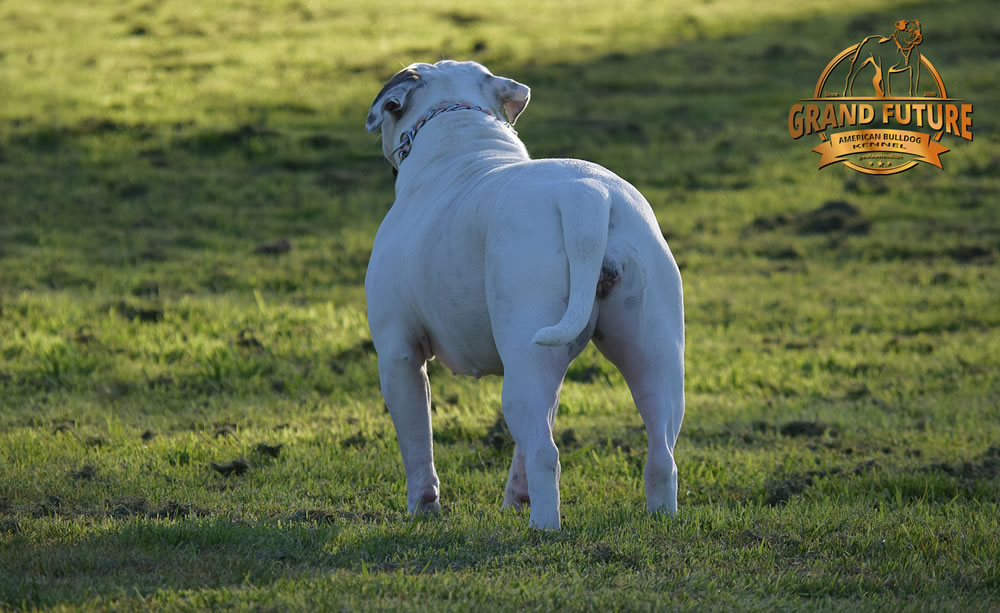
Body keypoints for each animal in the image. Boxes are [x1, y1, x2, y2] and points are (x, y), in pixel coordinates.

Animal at [364, 63, 684, 532]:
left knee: (545, 453)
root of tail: (587, 196)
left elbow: (418, 445)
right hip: (652, 356)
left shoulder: (398, 356)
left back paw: (543, 527)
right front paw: (515, 498)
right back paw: (659, 516)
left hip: (522, 369)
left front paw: (423, 509)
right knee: (661, 451)